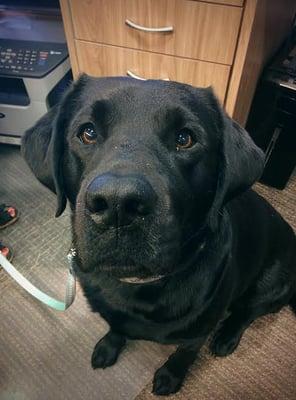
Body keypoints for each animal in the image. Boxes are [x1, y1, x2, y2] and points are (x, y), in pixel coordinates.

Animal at [22, 76, 294, 396]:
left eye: (185, 138)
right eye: (87, 132)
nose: (118, 204)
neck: (137, 285)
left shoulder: (197, 332)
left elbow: (184, 354)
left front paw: (170, 376)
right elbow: (115, 327)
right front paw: (108, 346)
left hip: (271, 283)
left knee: (248, 312)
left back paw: (227, 336)